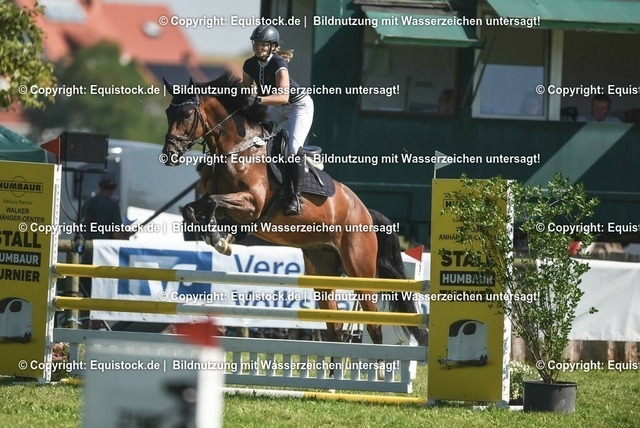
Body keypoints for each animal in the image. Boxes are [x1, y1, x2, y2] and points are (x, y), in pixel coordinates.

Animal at [161, 72, 427, 347]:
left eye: (187, 114)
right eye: (169, 113)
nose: (169, 155)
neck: (237, 148)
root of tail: (365, 212)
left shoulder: (251, 204)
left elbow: (213, 201)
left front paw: (218, 239)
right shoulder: (226, 203)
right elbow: (194, 208)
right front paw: (215, 235)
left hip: (359, 269)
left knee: (373, 325)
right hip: (322, 269)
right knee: (335, 327)